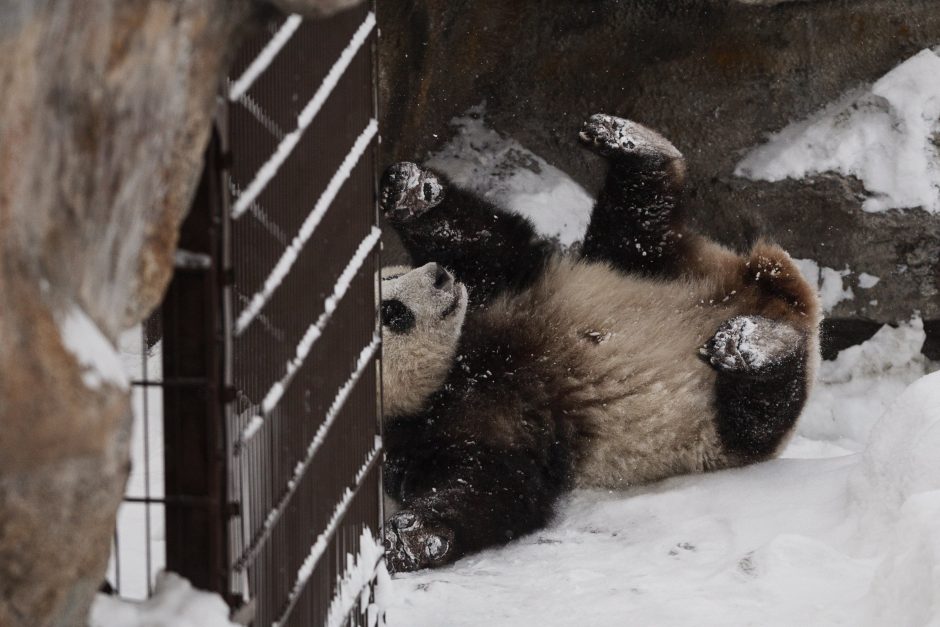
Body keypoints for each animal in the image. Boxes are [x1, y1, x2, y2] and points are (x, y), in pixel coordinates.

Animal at [378, 113, 820, 576]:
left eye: (392, 278)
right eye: (393, 312)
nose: (440, 277)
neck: (454, 371)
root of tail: (778, 298)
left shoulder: (499, 296)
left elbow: (495, 248)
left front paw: (410, 190)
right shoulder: (439, 435)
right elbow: (495, 484)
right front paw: (410, 536)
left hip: (633, 269)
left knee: (636, 228)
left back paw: (631, 144)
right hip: (716, 432)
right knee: (756, 415)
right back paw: (756, 347)